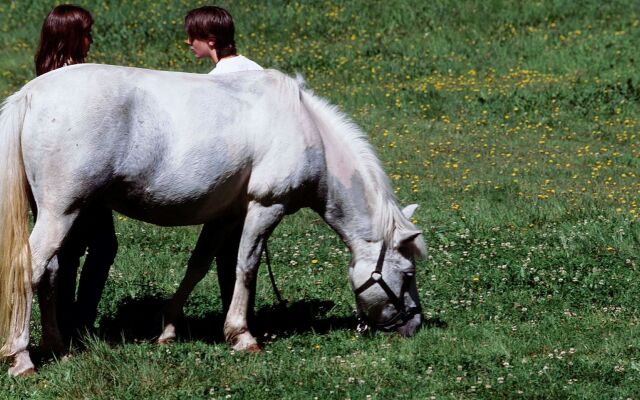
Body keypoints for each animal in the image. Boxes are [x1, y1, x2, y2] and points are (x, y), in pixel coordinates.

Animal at [2, 65, 428, 376]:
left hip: (54, 214)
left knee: (50, 272)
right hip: (62, 212)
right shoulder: (265, 207)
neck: (308, 131)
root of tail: (31, 94)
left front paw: (168, 329)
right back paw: (22, 360)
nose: (414, 325)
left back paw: (58, 347)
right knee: (30, 268)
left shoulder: (226, 215)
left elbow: (199, 266)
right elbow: (246, 266)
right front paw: (241, 335)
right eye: (407, 274)